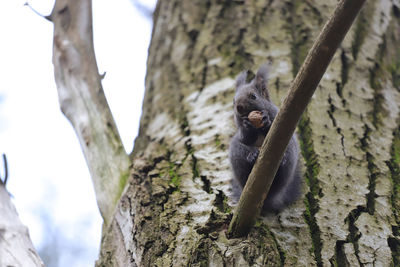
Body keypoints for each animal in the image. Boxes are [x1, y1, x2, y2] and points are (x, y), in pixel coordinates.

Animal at [228, 63, 300, 213]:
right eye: (233, 101)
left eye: (253, 96)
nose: (238, 107)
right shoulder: (242, 136)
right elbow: (246, 138)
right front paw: (246, 125)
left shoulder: (279, 121)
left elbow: (273, 127)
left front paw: (266, 121)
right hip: (237, 153)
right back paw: (252, 155)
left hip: (289, 150)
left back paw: (281, 161)